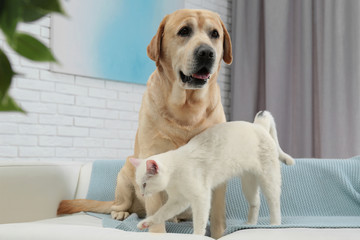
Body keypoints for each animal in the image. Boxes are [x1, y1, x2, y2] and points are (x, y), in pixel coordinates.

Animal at [57, 8, 232, 238]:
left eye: (215, 34)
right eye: (184, 31)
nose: (206, 52)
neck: (187, 108)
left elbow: (218, 213)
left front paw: (218, 233)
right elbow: (155, 211)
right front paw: (157, 232)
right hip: (124, 176)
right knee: (122, 205)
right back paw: (121, 213)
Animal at [131, 111, 294, 235]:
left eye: (144, 184)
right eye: (139, 185)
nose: (142, 194)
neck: (173, 178)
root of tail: (257, 125)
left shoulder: (200, 197)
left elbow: (199, 221)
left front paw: (197, 236)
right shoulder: (178, 200)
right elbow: (161, 213)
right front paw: (146, 223)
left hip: (269, 179)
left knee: (274, 203)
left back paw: (274, 225)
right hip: (248, 183)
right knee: (256, 202)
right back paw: (250, 224)